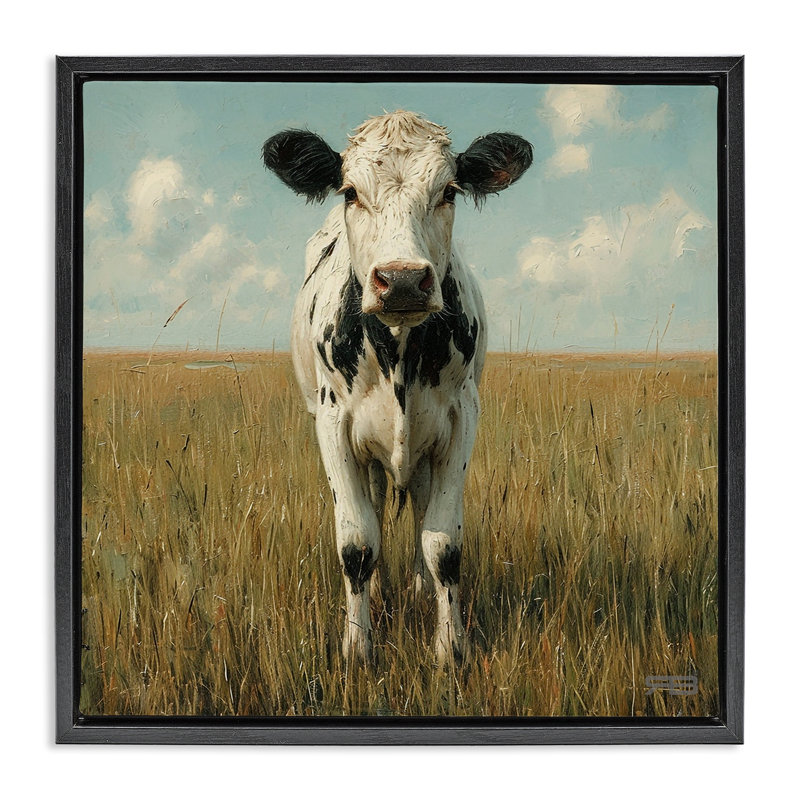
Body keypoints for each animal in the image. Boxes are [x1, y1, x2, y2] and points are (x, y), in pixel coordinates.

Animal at [262, 110, 532, 666]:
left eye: (449, 191)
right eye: (349, 191)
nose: (403, 280)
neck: (399, 355)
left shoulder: (461, 418)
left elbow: (442, 542)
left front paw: (450, 648)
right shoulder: (332, 423)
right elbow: (357, 541)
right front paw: (357, 648)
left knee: (418, 508)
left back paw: (416, 588)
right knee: (377, 506)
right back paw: (384, 589)